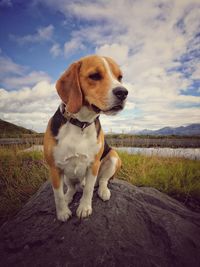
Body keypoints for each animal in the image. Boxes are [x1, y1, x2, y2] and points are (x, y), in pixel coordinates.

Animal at [43, 55, 128, 222]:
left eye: (119, 77)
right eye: (94, 76)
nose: (123, 92)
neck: (81, 123)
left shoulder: (93, 165)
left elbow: (88, 189)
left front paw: (84, 208)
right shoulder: (54, 168)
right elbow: (58, 195)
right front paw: (62, 213)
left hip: (113, 157)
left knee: (102, 181)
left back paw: (103, 191)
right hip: (67, 175)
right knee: (72, 188)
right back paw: (69, 196)